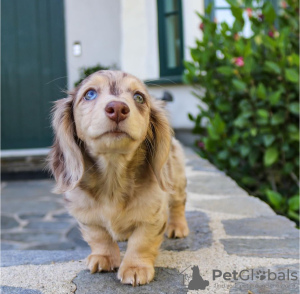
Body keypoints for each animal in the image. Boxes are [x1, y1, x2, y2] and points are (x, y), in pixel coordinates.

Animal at [48, 70, 189, 286]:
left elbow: (141, 242)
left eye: (139, 97)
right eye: (89, 94)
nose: (117, 108)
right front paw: (103, 257)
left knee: (178, 204)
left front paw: (135, 267)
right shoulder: (85, 215)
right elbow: (99, 236)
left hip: (177, 180)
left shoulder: (153, 216)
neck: (113, 173)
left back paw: (178, 226)